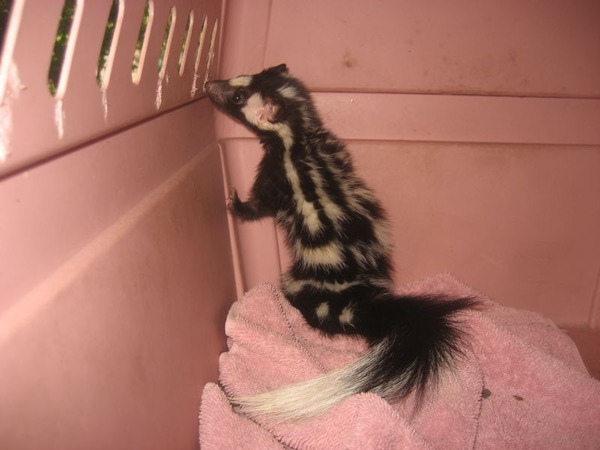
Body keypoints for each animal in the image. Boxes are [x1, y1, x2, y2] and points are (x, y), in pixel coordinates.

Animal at [204, 65, 476, 424]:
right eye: (240, 78)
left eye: (237, 97)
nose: (208, 84)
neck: (300, 134)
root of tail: (359, 296)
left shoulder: (279, 175)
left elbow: (259, 205)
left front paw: (234, 202)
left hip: (300, 281)